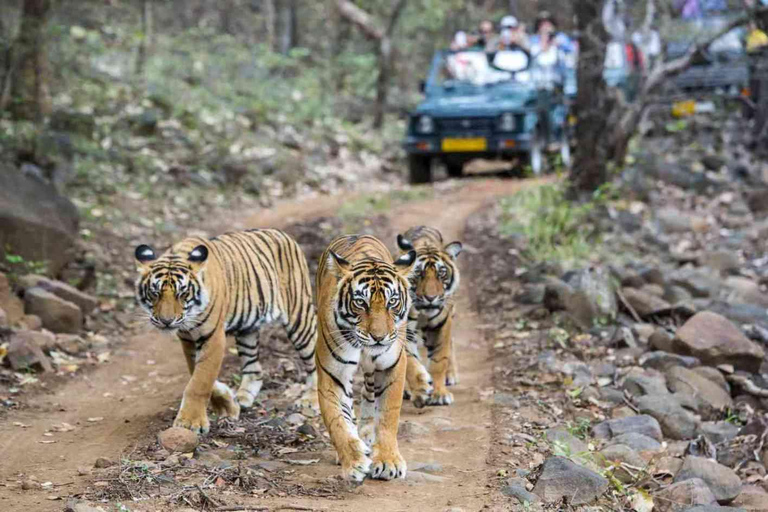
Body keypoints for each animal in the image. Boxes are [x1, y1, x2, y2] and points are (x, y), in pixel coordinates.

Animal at [135, 230, 318, 434]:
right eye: (155, 293)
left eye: (182, 294)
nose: (166, 321)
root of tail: (283, 234)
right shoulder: (188, 339)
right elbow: (196, 372)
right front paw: (227, 405)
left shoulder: (213, 337)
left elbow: (200, 380)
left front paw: (190, 422)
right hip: (247, 329)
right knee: (254, 368)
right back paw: (243, 398)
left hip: (299, 317)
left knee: (315, 359)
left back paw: (310, 400)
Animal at [316, 234, 416, 482]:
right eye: (361, 302)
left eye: (392, 301)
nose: (378, 337)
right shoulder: (333, 374)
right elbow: (337, 421)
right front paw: (354, 462)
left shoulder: (392, 366)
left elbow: (388, 415)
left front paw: (388, 461)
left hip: (374, 369)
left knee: (369, 393)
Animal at [396, 227, 462, 408]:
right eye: (419, 274)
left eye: (441, 274)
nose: (431, 298)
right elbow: (410, 362)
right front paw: (420, 390)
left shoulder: (441, 325)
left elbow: (439, 360)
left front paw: (440, 394)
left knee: (451, 343)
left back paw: (450, 375)